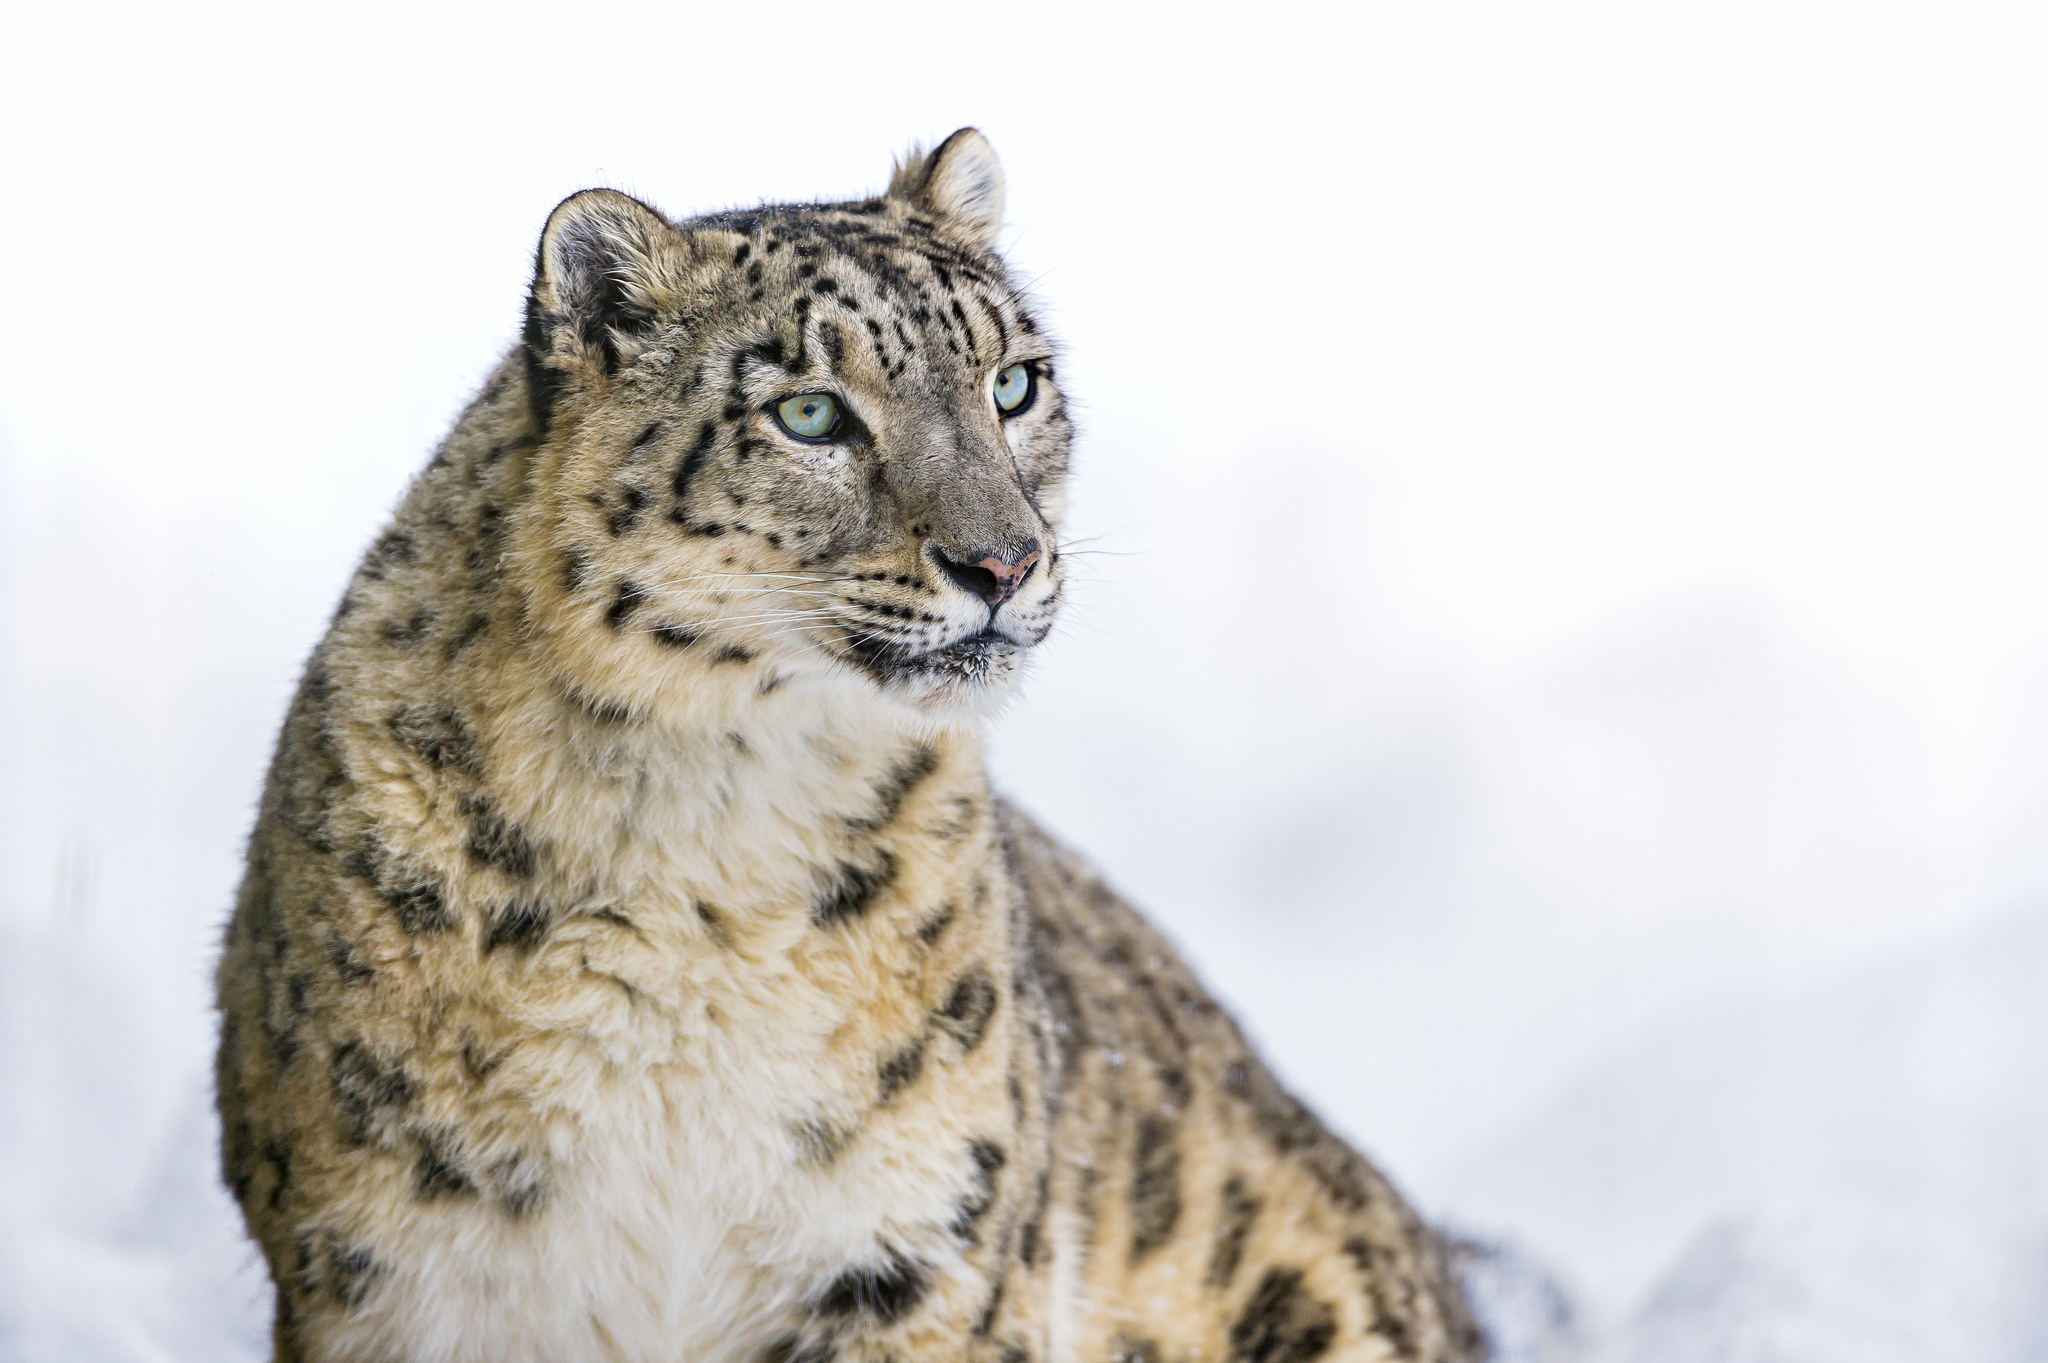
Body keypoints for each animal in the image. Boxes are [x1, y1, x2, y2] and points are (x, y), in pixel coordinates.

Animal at [216, 127, 1482, 1358]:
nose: (1004, 562)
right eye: (809, 412)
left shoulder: (913, 1256)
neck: (708, 842)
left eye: (1012, 383)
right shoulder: (402, 1278)